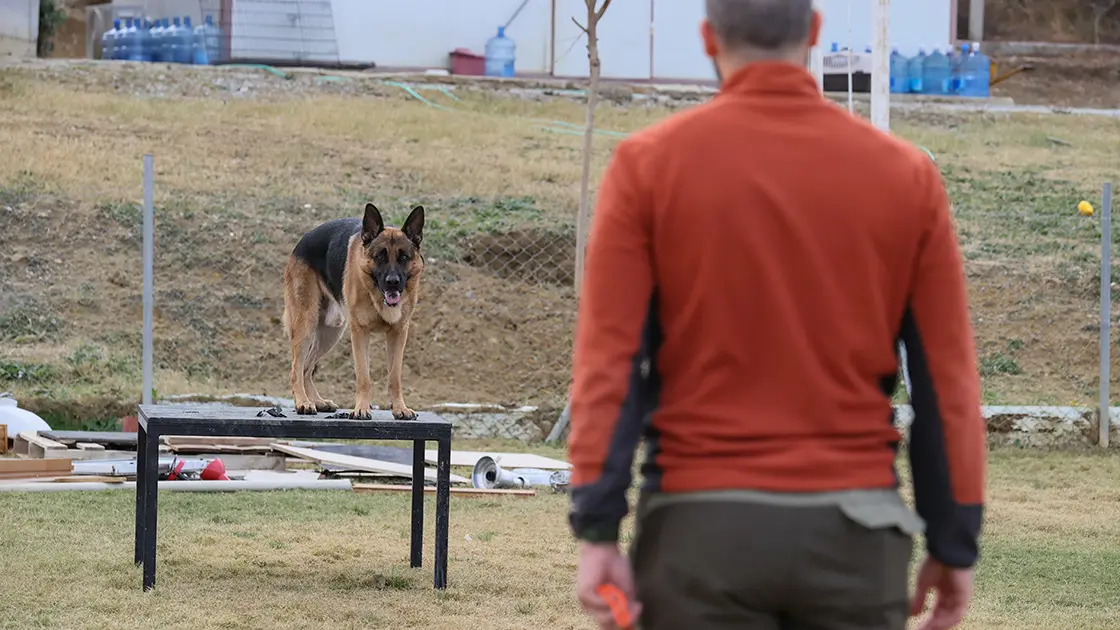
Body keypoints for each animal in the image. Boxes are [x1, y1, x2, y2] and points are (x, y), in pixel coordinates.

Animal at [284, 201, 423, 417]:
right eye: (380, 256)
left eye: (404, 257)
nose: (392, 282)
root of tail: (302, 241)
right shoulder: (360, 333)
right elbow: (363, 377)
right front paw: (361, 409)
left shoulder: (399, 334)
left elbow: (395, 377)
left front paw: (400, 408)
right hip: (306, 325)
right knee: (296, 369)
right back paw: (303, 402)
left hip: (331, 333)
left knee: (307, 368)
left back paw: (317, 401)